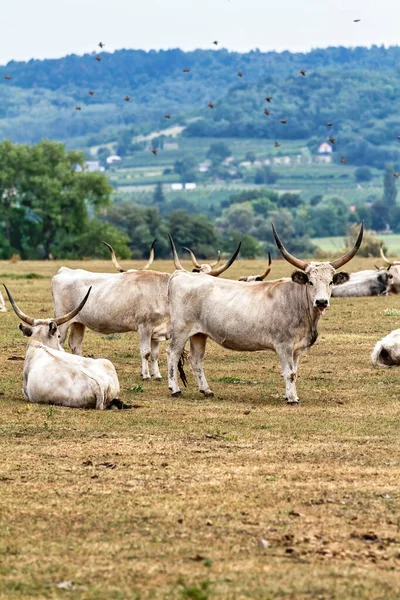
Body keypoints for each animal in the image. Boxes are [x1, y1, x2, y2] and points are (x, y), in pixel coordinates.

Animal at [51, 236, 239, 380]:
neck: (164, 292)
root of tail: (64, 271)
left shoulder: (157, 330)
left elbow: (155, 354)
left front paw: (157, 375)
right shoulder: (144, 327)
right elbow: (146, 352)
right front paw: (146, 375)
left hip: (78, 322)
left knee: (75, 345)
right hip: (63, 320)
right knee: (60, 342)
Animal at [166, 224, 362, 404]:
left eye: (331, 282)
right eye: (310, 282)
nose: (321, 302)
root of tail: (180, 274)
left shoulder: (297, 349)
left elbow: (295, 372)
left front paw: (291, 395)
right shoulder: (284, 345)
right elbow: (289, 373)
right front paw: (292, 399)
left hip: (199, 334)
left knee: (196, 359)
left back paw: (206, 390)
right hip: (181, 329)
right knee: (172, 353)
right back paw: (175, 389)